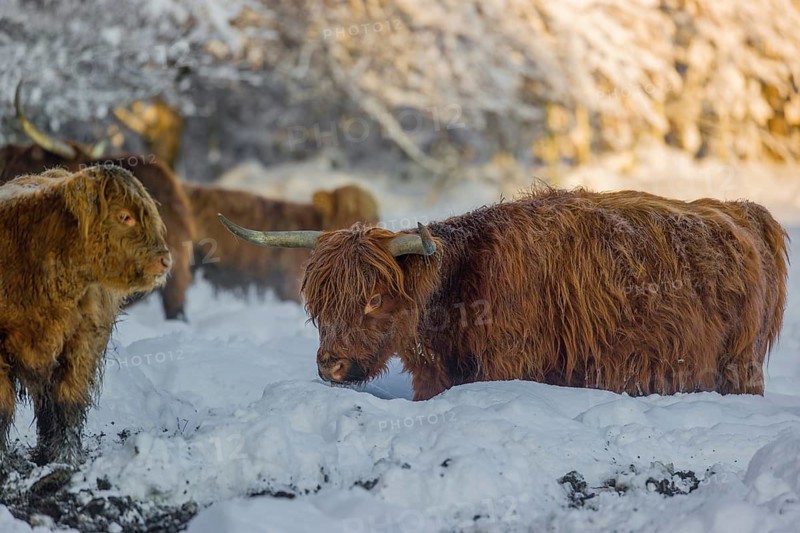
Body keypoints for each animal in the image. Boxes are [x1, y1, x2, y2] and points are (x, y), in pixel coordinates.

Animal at [0, 166, 171, 464]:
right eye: (124, 216)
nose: (165, 260)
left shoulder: (83, 341)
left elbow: (69, 399)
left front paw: (67, 458)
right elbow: (2, 406)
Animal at [218, 187, 789, 401]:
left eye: (374, 299)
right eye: (318, 304)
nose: (331, 367)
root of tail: (741, 211)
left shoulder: (508, 363)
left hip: (737, 365)